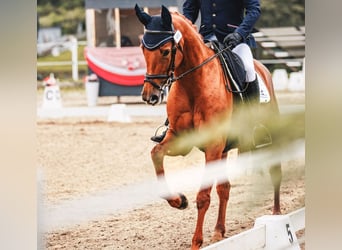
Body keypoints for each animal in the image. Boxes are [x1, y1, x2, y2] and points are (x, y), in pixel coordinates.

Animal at [135, 4, 282, 250]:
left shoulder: (213, 144)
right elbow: (156, 154)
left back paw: (277, 215)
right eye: (143, 49)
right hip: (223, 150)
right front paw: (179, 201)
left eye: (165, 51)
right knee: (225, 188)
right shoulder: (179, 139)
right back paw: (218, 230)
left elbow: (203, 197)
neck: (193, 85)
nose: (150, 96)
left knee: (274, 171)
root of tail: (263, 69)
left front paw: (196, 242)